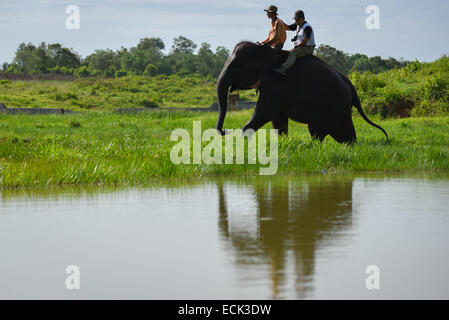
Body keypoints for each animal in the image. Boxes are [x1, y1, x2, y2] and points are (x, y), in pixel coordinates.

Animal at [215, 41, 386, 144]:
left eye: (235, 68)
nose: (226, 131)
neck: (265, 52)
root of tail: (351, 87)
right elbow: (278, 117)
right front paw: (282, 143)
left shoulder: (276, 82)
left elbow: (266, 112)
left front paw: (240, 143)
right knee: (341, 130)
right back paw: (350, 145)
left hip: (333, 106)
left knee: (316, 129)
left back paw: (317, 146)